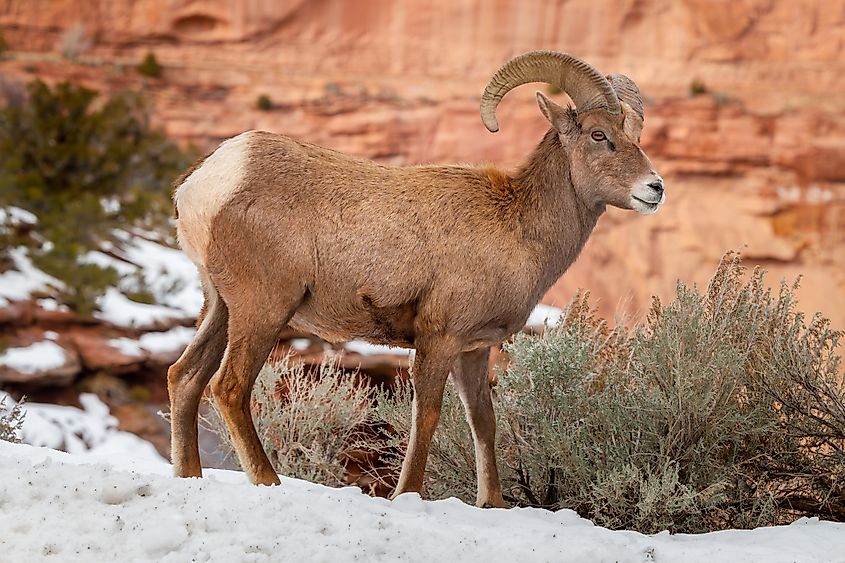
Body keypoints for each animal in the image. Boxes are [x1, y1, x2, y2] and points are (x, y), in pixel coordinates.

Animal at [167, 50, 665, 508]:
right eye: (599, 135)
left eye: (635, 135)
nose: (655, 188)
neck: (517, 226)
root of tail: (206, 182)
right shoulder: (438, 339)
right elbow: (426, 415)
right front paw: (407, 495)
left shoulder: (474, 349)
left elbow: (484, 423)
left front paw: (493, 504)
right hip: (263, 310)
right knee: (229, 387)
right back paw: (269, 481)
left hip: (220, 307)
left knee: (184, 377)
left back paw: (189, 476)